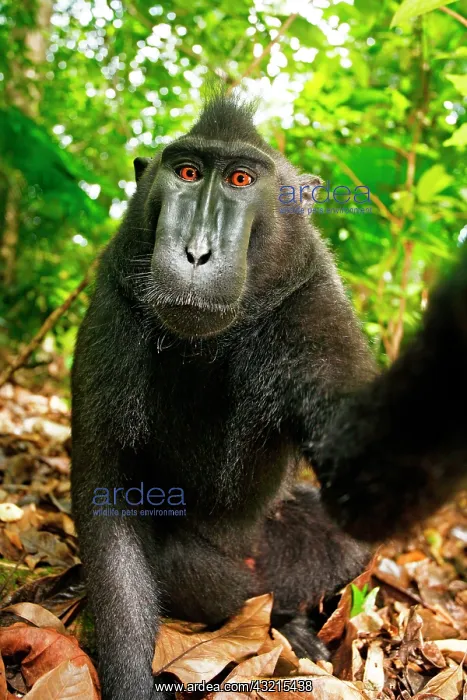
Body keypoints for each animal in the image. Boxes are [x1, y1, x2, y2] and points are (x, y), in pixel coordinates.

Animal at [71, 94, 467, 700]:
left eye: (240, 179)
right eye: (187, 173)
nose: (196, 253)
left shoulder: (313, 304)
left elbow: (364, 481)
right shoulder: (114, 304)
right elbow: (108, 500)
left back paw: (295, 625)